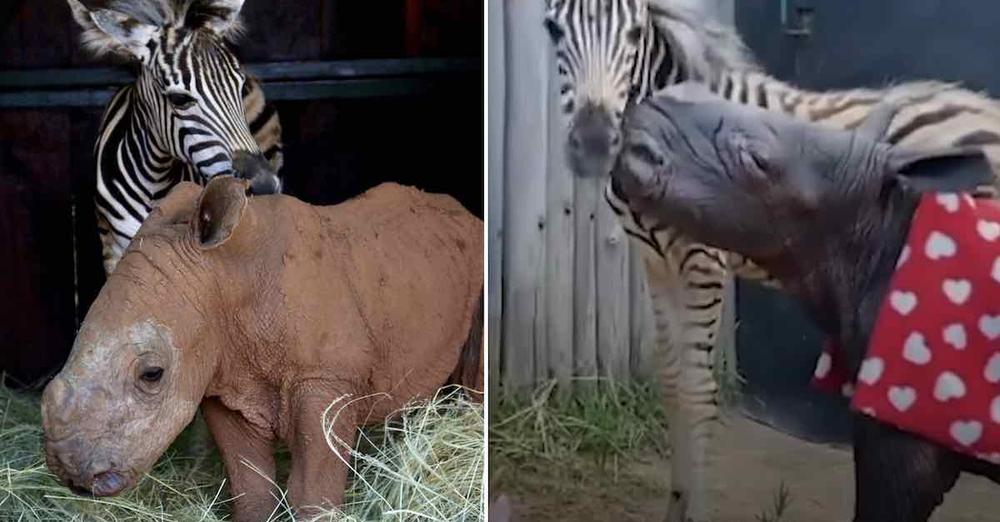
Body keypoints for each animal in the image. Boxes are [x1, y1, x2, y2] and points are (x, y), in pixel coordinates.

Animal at [41, 177, 486, 516]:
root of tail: (468, 214)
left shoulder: (325, 378)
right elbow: (250, 486)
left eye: (152, 374)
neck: (226, 277)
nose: (69, 473)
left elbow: (313, 493)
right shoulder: (225, 380)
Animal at [544, 2, 1000, 516]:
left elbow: (697, 392)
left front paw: (694, 509)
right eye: (553, 29)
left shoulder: (702, 261)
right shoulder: (656, 263)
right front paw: (676, 501)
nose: (593, 145)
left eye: (635, 33)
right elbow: (673, 382)